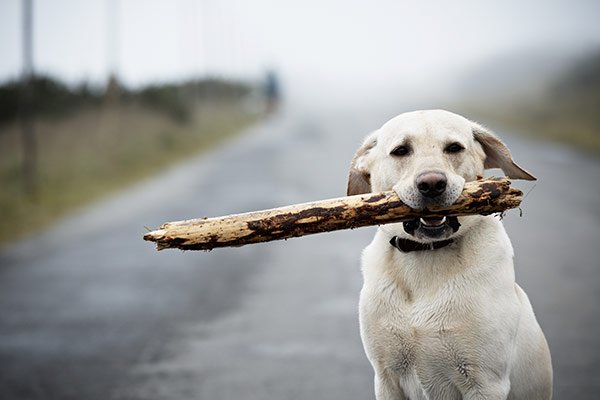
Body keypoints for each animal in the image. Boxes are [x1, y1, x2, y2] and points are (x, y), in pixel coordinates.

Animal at [346, 110, 552, 400]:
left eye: (454, 148)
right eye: (400, 151)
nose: (432, 184)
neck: (427, 255)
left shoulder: (485, 383)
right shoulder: (387, 377)